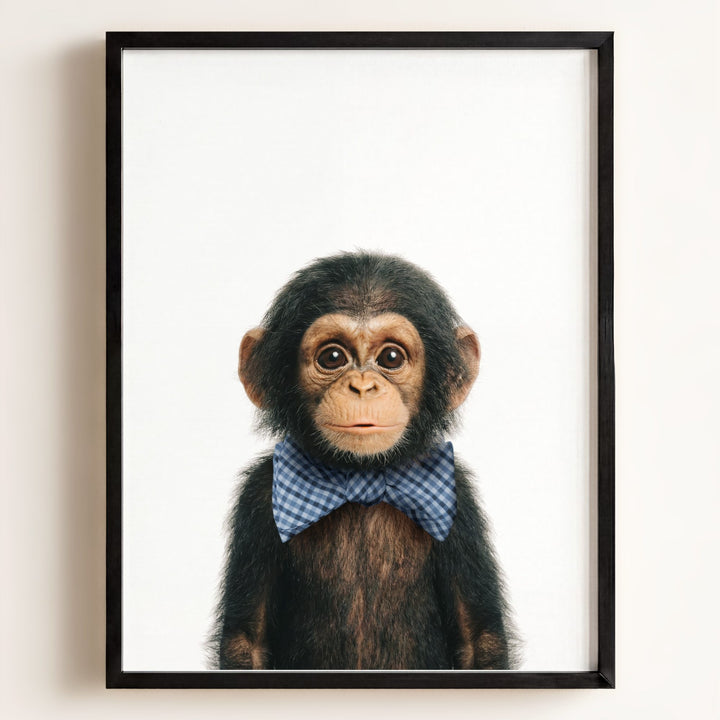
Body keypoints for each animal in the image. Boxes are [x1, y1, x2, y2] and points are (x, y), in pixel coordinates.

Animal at [212, 251, 517, 670]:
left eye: (391, 357)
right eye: (332, 357)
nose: (362, 386)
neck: (361, 478)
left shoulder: (459, 501)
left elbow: (479, 640)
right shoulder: (258, 497)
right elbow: (246, 641)